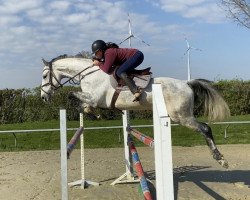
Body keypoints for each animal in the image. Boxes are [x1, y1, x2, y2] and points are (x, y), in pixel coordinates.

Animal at [40, 54, 230, 168]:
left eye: (44, 76)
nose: (43, 97)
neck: (89, 75)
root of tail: (186, 83)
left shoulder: (94, 97)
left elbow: (72, 95)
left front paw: (94, 112)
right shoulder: (92, 98)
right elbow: (83, 103)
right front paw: (94, 112)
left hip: (181, 117)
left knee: (205, 128)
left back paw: (220, 159)